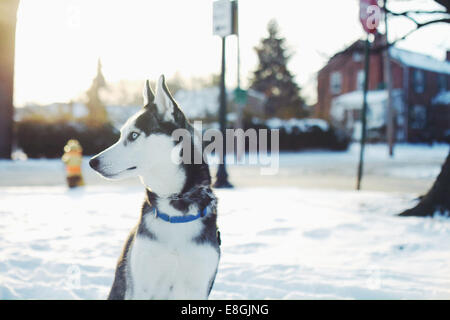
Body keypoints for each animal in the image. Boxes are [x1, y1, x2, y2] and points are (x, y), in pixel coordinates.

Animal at [89, 75, 220, 300]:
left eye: (133, 135)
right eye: (121, 135)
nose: (92, 162)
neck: (175, 208)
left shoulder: (197, 286)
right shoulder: (143, 285)